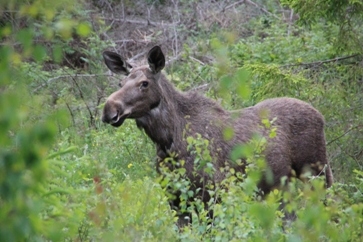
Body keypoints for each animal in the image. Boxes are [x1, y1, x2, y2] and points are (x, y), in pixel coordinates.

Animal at [101, 46, 334, 225]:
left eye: (144, 83)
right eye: (120, 84)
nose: (109, 109)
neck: (167, 140)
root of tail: (321, 115)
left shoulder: (212, 193)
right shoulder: (175, 198)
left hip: (317, 172)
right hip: (285, 185)